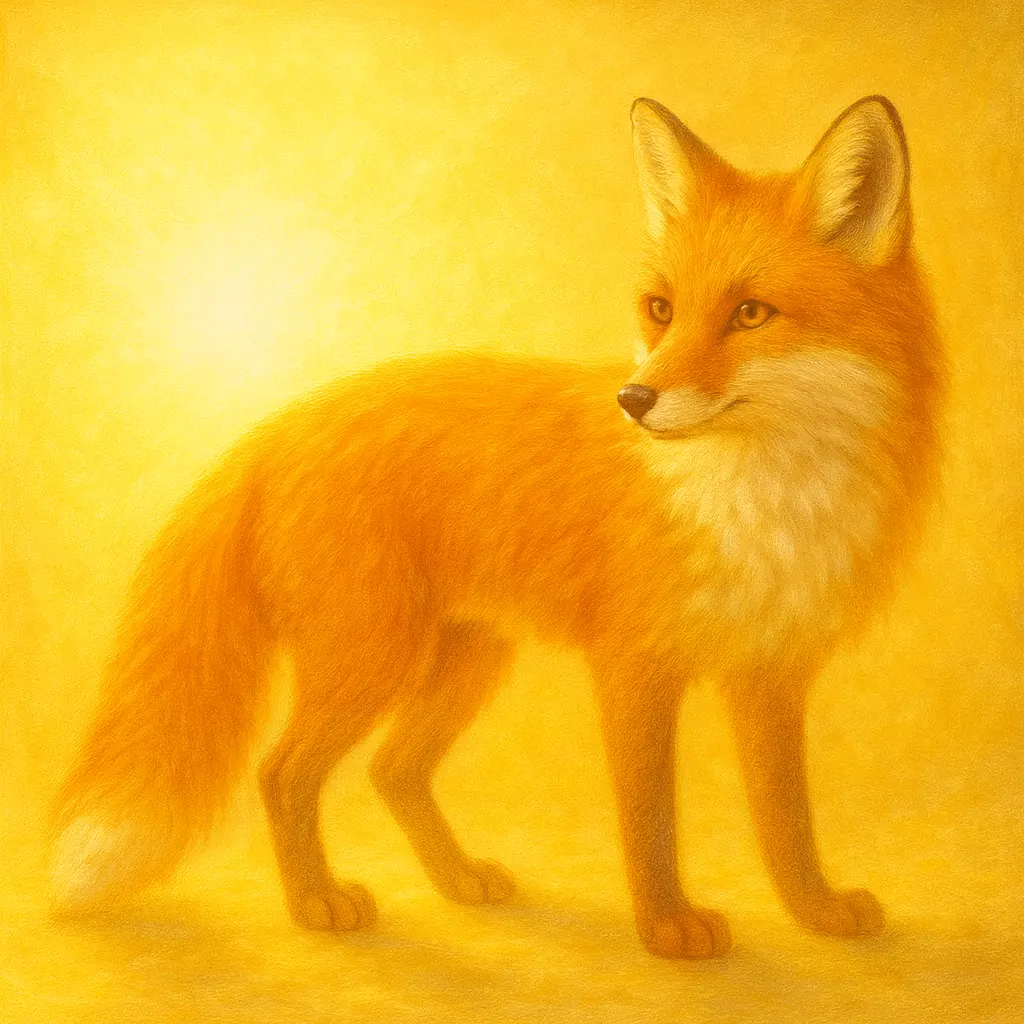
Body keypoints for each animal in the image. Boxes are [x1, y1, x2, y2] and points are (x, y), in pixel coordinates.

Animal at [52, 95, 943, 959]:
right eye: (661, 309)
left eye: (752, 314)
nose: (634, 400)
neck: (762, 499)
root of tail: (283, 423)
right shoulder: (634, 666)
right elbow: (650, 818)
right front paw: (666, 929)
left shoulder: (770, 674)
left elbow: (786, 820)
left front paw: (815, 912)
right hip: (371, 659)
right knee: (281, 772)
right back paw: (314, 904)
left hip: (465, 661)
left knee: (392, 769)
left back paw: (455, 880)